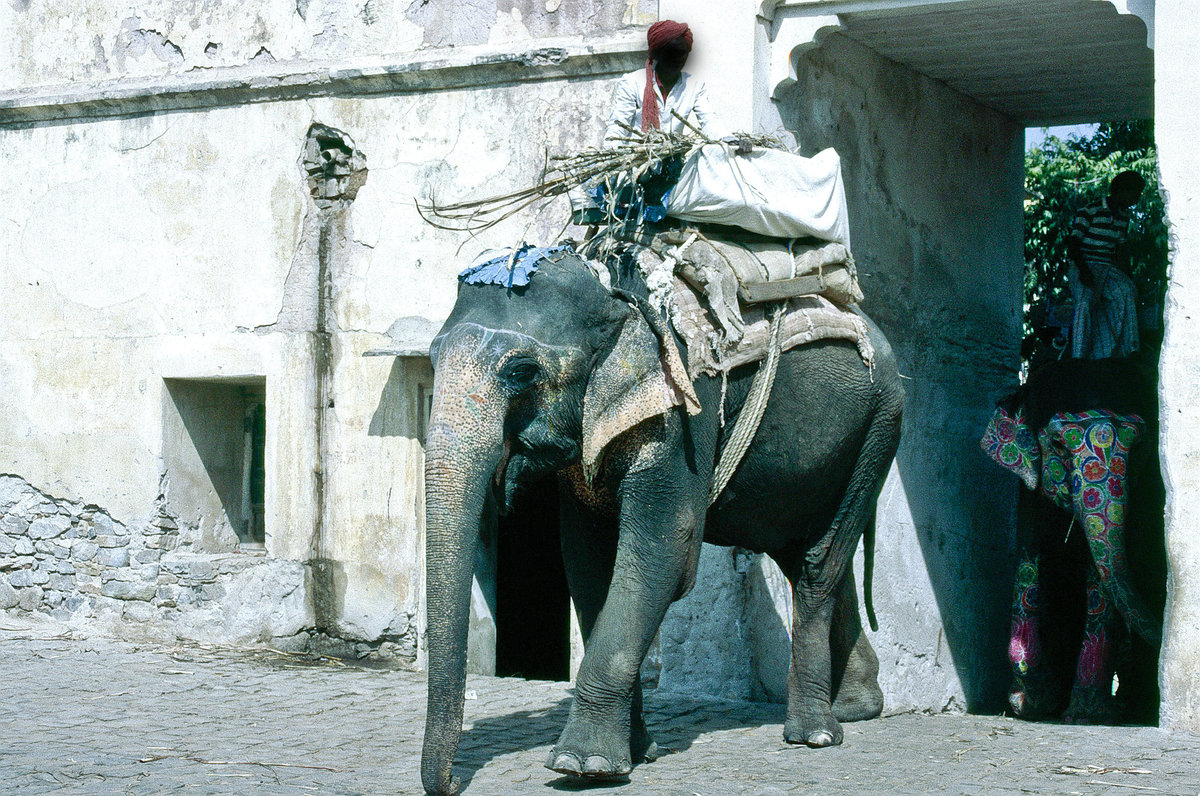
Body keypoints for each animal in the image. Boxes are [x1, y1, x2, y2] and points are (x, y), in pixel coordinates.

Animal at [422, 249, 902, 796]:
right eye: (432, 359)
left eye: (522, 371)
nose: (454, 783)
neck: (610, 290)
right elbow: (588, 562)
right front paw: (636, 753)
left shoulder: (684, 403)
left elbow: (663, 550)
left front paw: (582, 766)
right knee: (806, 555)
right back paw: (857, 708)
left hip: (880, 428)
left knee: (820, 565)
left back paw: (814, 735)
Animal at [984, 357, 1161, 725]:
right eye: (1059, 445)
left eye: (1139, 447)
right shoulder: (1030, 493)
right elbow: (1028, 563)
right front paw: (1028, 703)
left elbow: (1101, 578)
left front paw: (1087, 714)